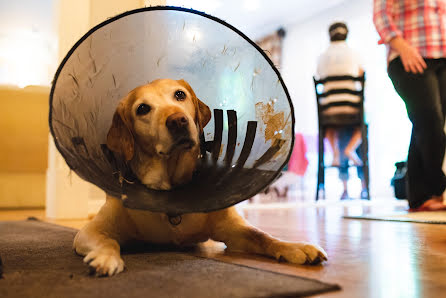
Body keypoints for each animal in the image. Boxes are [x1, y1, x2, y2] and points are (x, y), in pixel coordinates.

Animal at [74, 79, 328, 278]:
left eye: (179, 94)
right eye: (143, 108)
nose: (177, 120)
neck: (172, 191)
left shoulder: (233, 230)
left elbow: (262, 235)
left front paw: (295, 247)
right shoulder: (91, 231)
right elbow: (108, 240)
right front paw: (106, 258)